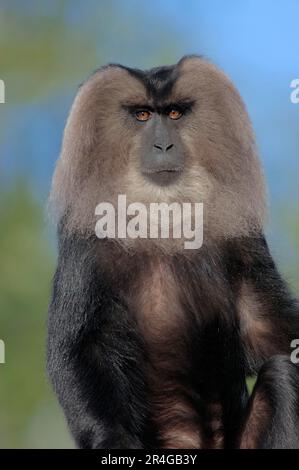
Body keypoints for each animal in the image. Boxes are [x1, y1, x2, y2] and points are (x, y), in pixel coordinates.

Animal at [47, 55, 299, 448]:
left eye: (176, 113)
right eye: (143, 115)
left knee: (283, 375)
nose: (163, 146)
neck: (162, 218)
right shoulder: (83, 237)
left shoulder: (243, 236)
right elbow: (78, 346)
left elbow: (271, 330)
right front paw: (110, 438)